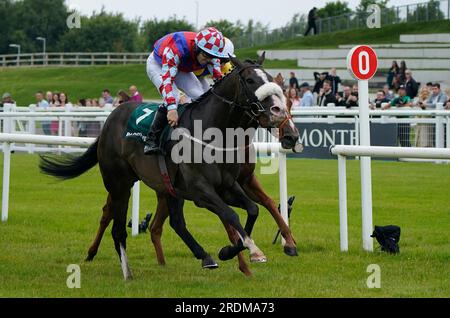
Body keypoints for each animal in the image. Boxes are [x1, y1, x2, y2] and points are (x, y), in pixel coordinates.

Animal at [38, 56, 298, 280]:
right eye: (251, 80)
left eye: (272, 80)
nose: (280, 115)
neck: (215, 134)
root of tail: (110, 120)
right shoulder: (202, 191)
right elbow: (231, 216)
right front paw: (250, 253)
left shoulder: (227, 186)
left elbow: (253, 209)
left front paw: (235, 252)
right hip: (120, 184)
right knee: (116, 225)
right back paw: (123, 270)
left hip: (167, 189)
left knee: (174, 222)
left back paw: (204, 257)